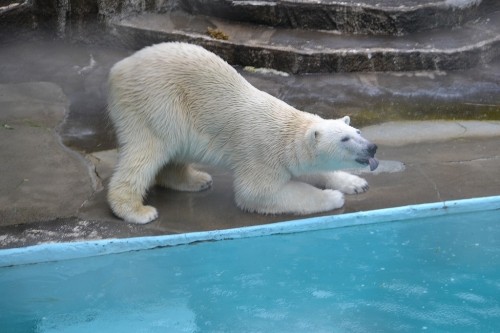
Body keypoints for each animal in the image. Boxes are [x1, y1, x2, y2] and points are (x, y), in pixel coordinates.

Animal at [107, 42, 376, 223]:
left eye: (357, 130)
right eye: (345, 138)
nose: (372, 147)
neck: (286, 129)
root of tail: (118, 68)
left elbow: (312, 169)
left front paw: (355, 183)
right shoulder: (262, 153)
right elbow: (257, 193)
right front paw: (333, 197)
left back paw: (196, 180)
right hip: (156, 102)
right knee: (148, 150)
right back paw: (137, 210)